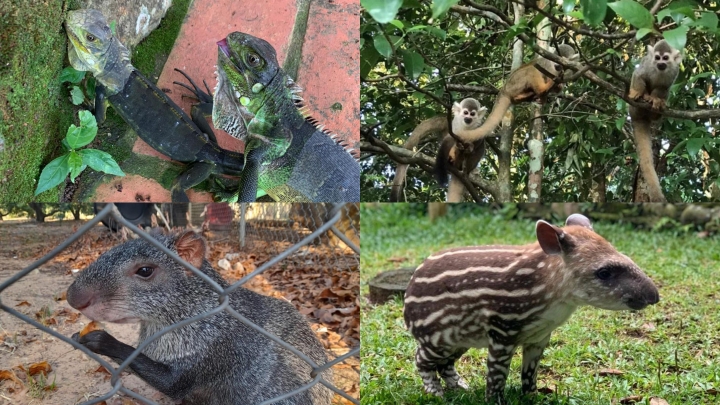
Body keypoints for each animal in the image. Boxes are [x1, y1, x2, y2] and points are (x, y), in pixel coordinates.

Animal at [632, 39, 680, 200]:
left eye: (665, 58)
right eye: (657, 57)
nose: (660, 63)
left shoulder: (674, 70)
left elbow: (663, 87)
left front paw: (656, 99)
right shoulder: (648, 64)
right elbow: (638, 75)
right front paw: (637, 92)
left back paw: (656, 109)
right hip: (633, 109)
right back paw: (644, 97)